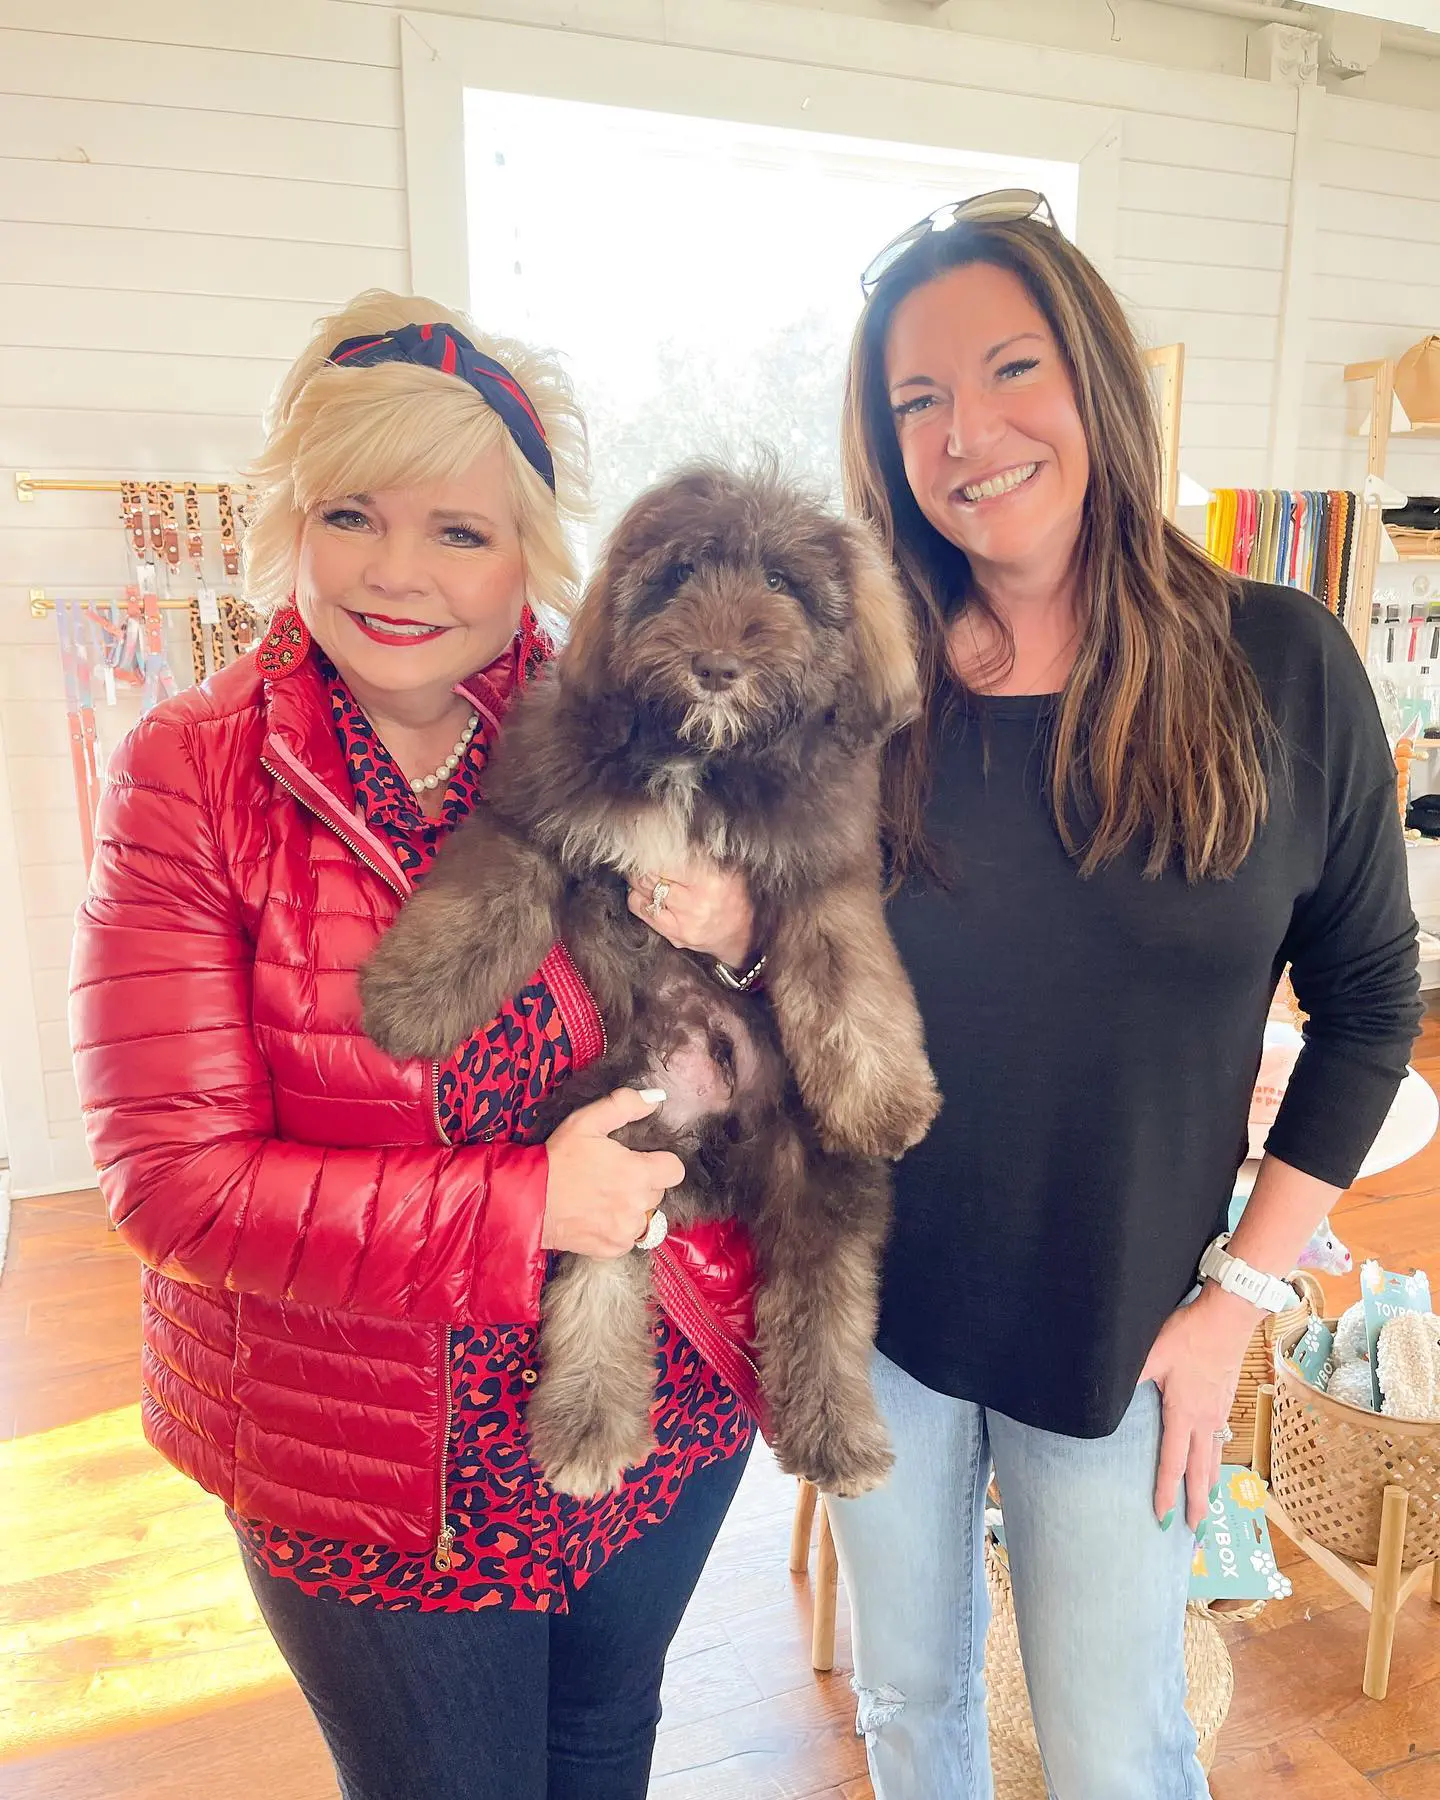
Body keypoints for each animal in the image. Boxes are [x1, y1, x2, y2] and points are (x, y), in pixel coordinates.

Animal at [365, 460, 936, 1490]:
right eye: (681, 574)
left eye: (783, 583)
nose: (716, 665)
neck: (699, 756)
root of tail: (709, 1137)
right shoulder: (533, 818)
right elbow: (480, 898)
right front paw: (411, 997)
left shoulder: (820, 875)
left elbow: (849, 977)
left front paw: (883, 1096)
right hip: (612, 1139)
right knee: (599, 1287)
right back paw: (590, 1430)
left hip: (813, 1171)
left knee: (822, 1300)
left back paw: (837, 1434)